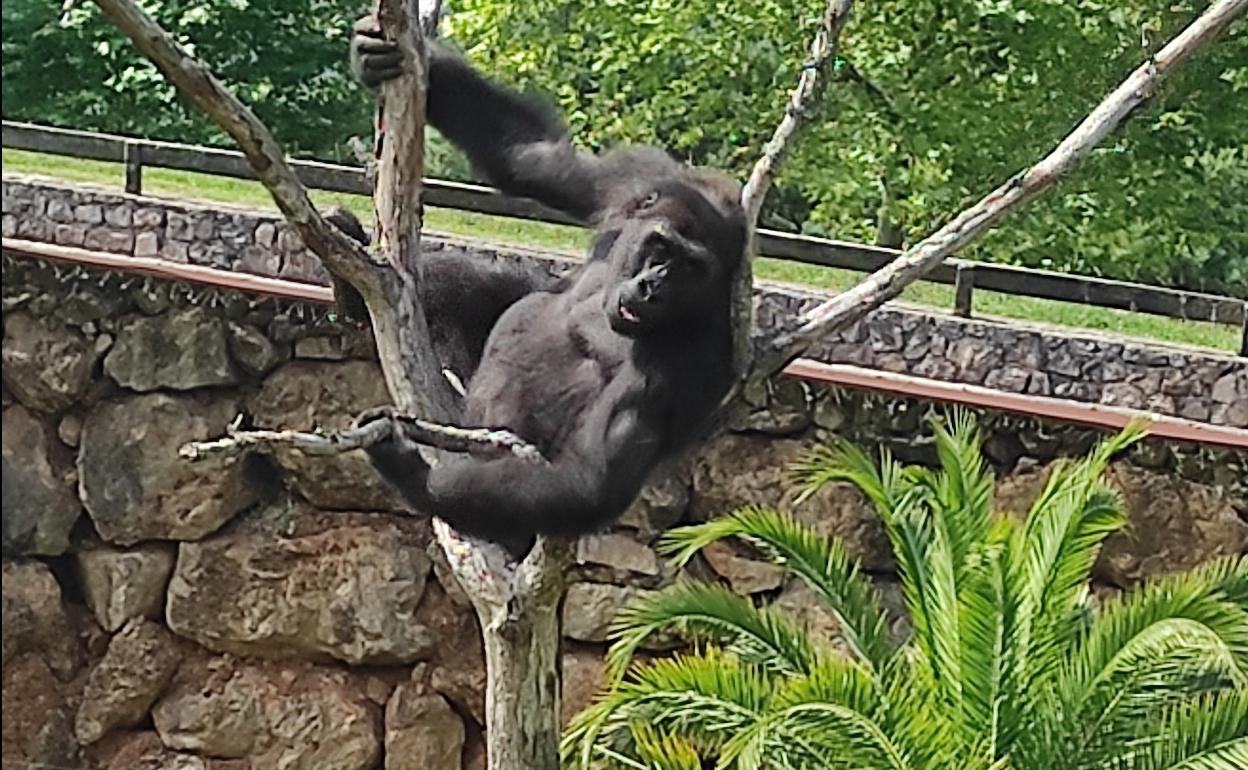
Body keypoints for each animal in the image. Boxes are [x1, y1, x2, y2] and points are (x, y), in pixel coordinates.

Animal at [346, 14, 743, 556]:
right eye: (661, 249)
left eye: (690, 269)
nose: (653, 286)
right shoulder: (638, 181)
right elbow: (532, 158)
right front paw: (379, 51)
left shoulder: (696, 367)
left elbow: (586, 482)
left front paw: (415, 474)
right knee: (500, 287)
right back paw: (350, 291)